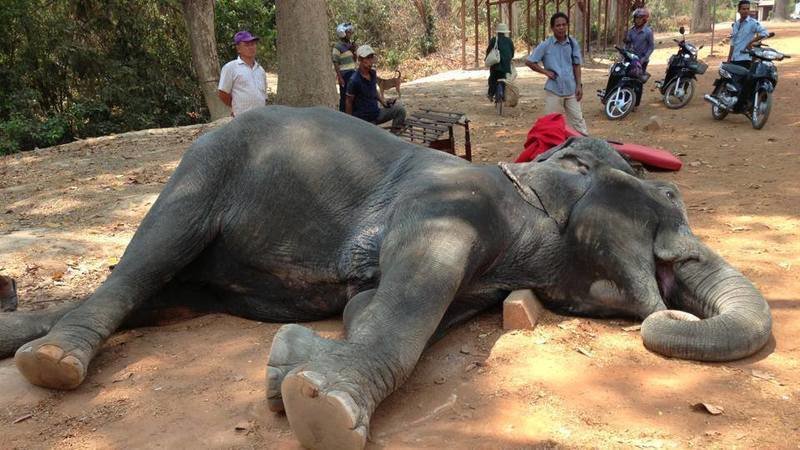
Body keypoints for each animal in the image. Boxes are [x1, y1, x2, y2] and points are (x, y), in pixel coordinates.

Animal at [0, 107, 771, 450]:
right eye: (667, 199)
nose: (671, 309)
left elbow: (377, 304)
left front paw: (290, 368)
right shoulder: (448, 203)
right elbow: (415, 286)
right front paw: (321, 409)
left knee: (165, 295)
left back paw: (27, 338)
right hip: (206, 166)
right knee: (148, 259)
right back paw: (51, 363)